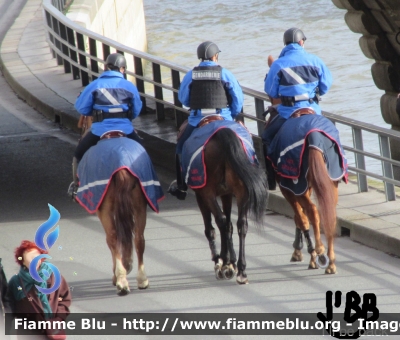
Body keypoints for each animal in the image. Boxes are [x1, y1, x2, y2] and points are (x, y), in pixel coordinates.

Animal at [188, 123, 268, 282]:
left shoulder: (201, 195)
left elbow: (211, 228)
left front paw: (221, 261)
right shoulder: (227, 194)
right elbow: (230, 225)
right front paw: (231, 262)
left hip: (208, 192)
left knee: (221, 220)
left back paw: (225, 262)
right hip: (242, 192)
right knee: (241, 224)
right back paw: (241, 269)